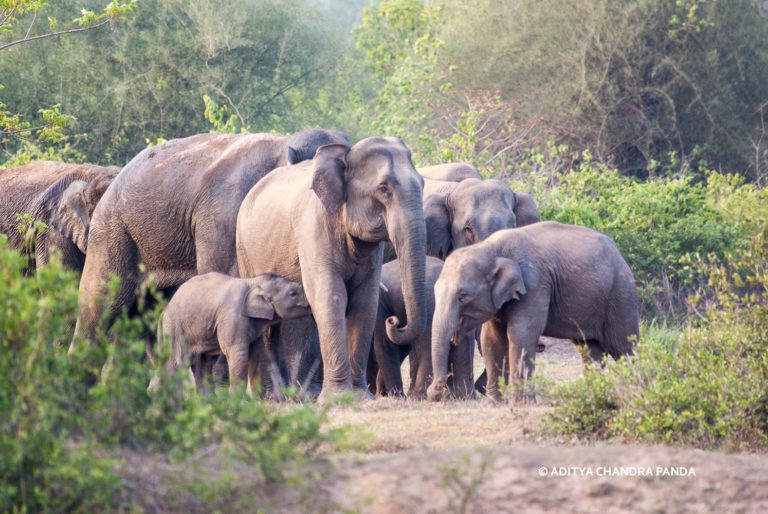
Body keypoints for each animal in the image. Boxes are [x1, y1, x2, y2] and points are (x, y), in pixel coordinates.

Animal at [148, 272, 310, 396]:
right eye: (292, 293)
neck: (252, 282)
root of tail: (163, 313)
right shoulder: (233, 317)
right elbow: (236, 352)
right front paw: (235, 400)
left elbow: (256, 351)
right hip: (174, 329)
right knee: (175, 363)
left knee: (202, 365)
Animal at [236, 137, 427, 400]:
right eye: (384, 189)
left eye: (423, 183)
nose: (394, 321)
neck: (345, 155)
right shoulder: (313, 229)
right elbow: (331, 296)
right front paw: (338, 398)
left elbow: (365, 302)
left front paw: (359, 397)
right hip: (245, 251)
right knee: (265, 326)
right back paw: (271, 399)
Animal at [426, 222, 639, 402]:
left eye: (463, 296)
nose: (436, 391)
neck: (490, 249)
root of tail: (620, 255)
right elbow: (492, 339)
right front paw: (495, 403)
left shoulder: (534, 284)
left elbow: (521, 334)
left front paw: (522, 403)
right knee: (589, 349)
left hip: (620, 294)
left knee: (623, 346)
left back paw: (637, 391)